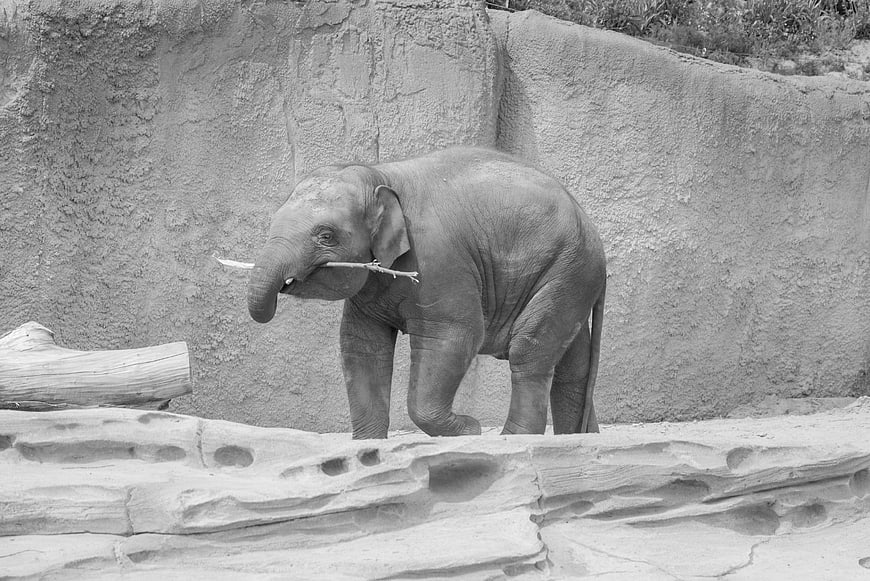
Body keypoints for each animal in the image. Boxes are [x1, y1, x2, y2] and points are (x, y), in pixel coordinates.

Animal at [247, 147, 606, 439]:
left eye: (326, 235)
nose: (283, 284)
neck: (381, 174)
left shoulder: (439, 260)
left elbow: (454, 335)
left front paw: (470, 429)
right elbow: (362, 344)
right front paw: (368, 447)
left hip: (565, 269)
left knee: (529, 349)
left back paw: (513, 438)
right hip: (571, 278)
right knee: (573, 363)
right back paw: (578, 440)